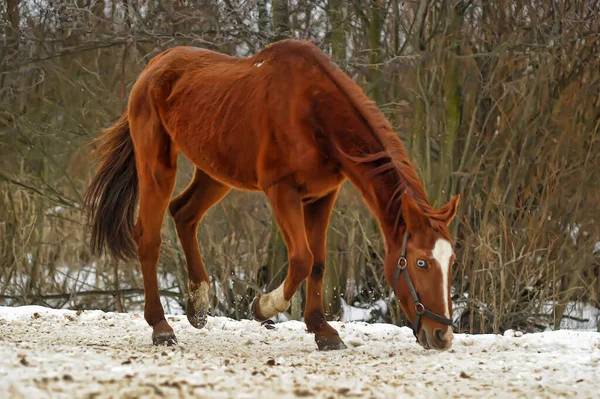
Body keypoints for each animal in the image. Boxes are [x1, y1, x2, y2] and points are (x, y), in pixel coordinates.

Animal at [83, 39, 460, 352]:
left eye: (452, 261)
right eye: (421, 262)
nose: (442, 335)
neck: (314, 111)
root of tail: (154, 66)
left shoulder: (322, 196)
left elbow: (318, 263)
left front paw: (322, 331)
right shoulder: (282, 191)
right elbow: (301, 259)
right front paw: (264, 306)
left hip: (216, 172)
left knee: (184, 213)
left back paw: (199, 304)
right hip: (157, 167)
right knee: (148, 237)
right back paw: (161, 327)